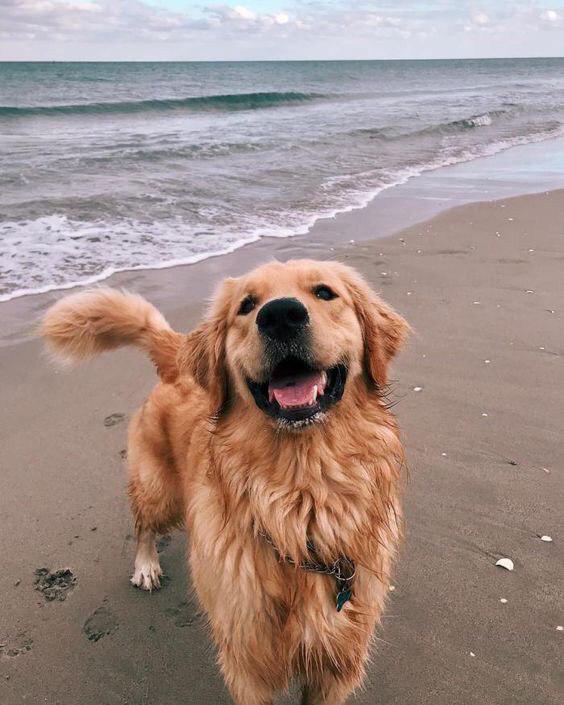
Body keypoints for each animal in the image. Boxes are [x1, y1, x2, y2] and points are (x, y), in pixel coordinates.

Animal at [41, 260, 408, 704]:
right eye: (246, 305)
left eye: (324, 292)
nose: (280, 315)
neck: (300, 498)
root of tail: (177, 360)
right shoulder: (247, 664)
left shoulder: (336, 665)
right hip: (160, 490)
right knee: (143, 523)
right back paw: (146, 566)